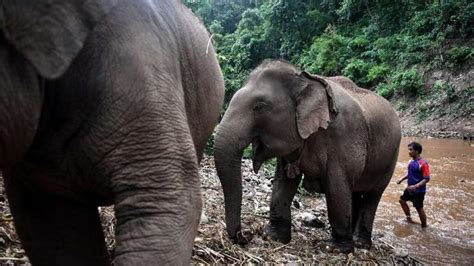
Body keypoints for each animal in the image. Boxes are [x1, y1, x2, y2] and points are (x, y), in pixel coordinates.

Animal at [215, 59, 400, 254]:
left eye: (259, 107)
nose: (246, 234)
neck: (305, 79)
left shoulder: (343, 137)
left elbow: (337, 187)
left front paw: (333, 248)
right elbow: (283, 182)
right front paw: (272, 236)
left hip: (390, 160)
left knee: (372, 196)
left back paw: (360, 243)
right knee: (356, 194)